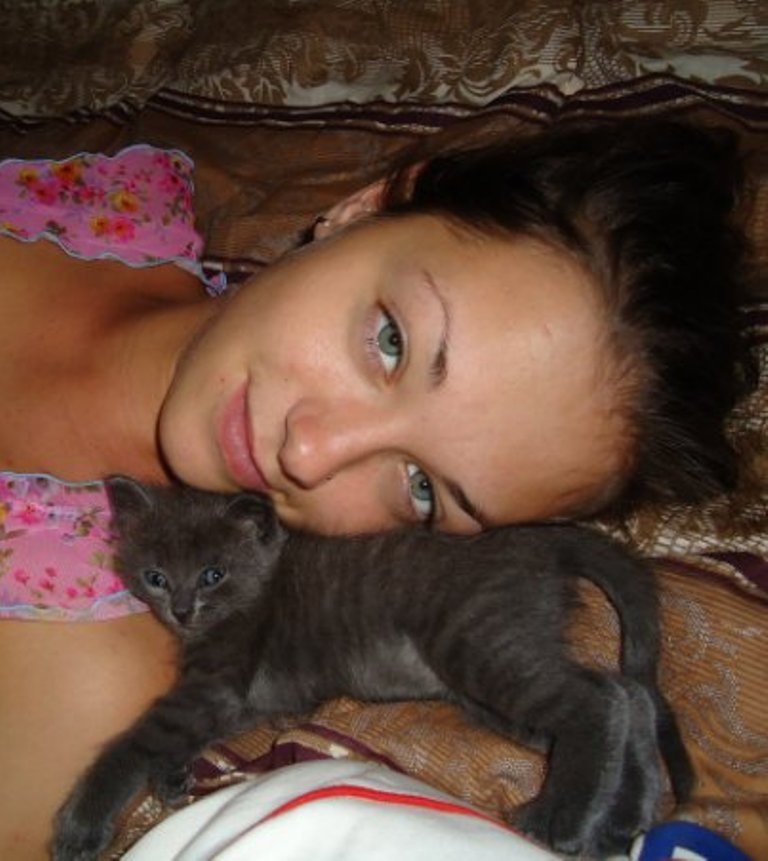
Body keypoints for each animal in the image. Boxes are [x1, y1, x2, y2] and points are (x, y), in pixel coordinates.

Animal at [52, 476, 692, 861]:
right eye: (156, 577)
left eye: (213, 575)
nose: (182, 611)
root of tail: (545, 541)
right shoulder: (257, 697)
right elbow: (195, 733)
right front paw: (172, 775)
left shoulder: (219, 681)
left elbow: (140, 738)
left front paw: (81, 823)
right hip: (491, 674)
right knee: (623, 690)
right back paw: (622, 817)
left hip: (478, 642)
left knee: (594, 700)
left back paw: (561, 815)